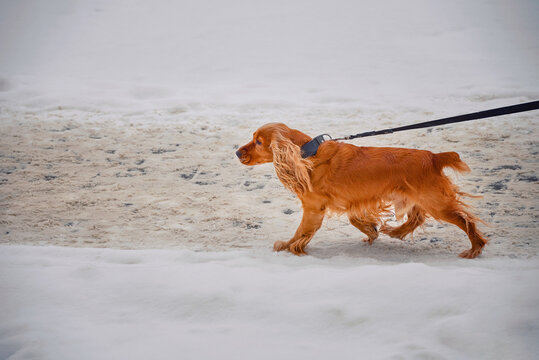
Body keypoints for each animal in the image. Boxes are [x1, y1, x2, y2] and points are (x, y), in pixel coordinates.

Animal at [236, 122, 490, 258]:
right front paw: (371, 230)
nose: (237, 152)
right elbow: (355, 219)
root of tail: (434, 157)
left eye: (259, 142)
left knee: (466, 220)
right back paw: (395, 232)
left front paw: (288, 246)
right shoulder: (352, 200)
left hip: (436, 201)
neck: (307, 155)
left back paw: (475, 248)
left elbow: (301, 231)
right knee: (417, 216)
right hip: (417, 195)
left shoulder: (313, 208)